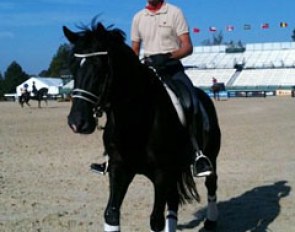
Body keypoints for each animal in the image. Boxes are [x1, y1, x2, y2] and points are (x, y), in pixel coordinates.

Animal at [64, 20, 222, 231]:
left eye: (99, 67)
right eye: (72, 68)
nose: (77, 122)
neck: (134, 122)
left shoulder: (161, 174)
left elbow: (156, 220)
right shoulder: (119, 169)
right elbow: (111, 214)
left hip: (210, 156)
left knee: (211, 184)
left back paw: (211, 221)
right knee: (173, 200)